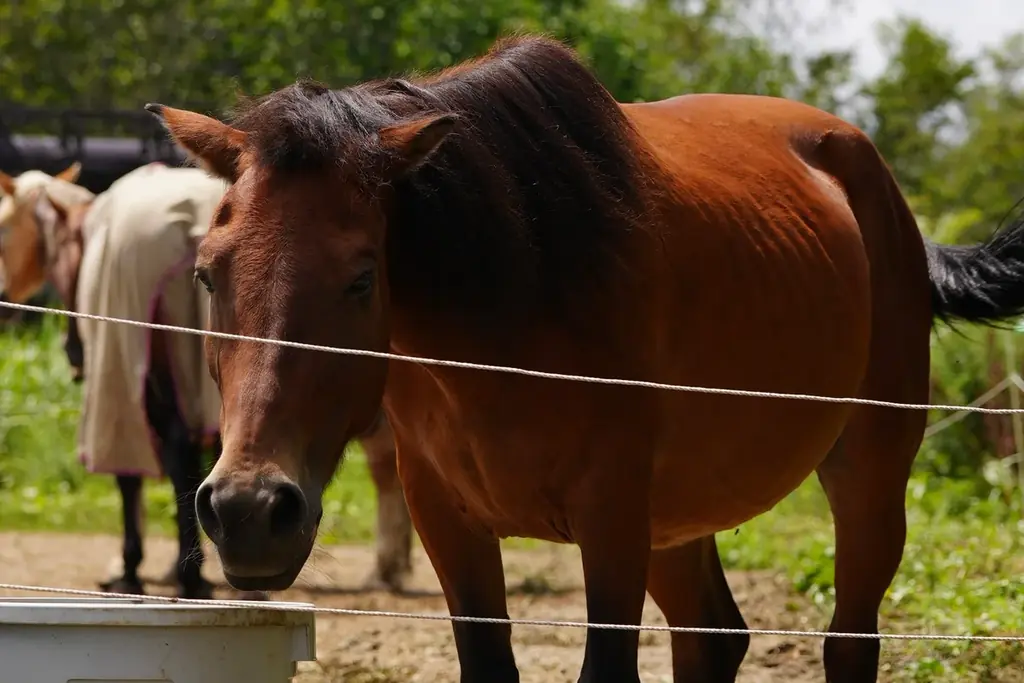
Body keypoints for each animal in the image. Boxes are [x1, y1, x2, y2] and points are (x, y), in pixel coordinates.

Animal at [146, 35, 1024, 683]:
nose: (249, 510)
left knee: (848, 640)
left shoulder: (612, 525)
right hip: (678, 521)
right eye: (208, 273)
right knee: (712, 638)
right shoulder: (453, 527)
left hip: (868, 473)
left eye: (362, 278)